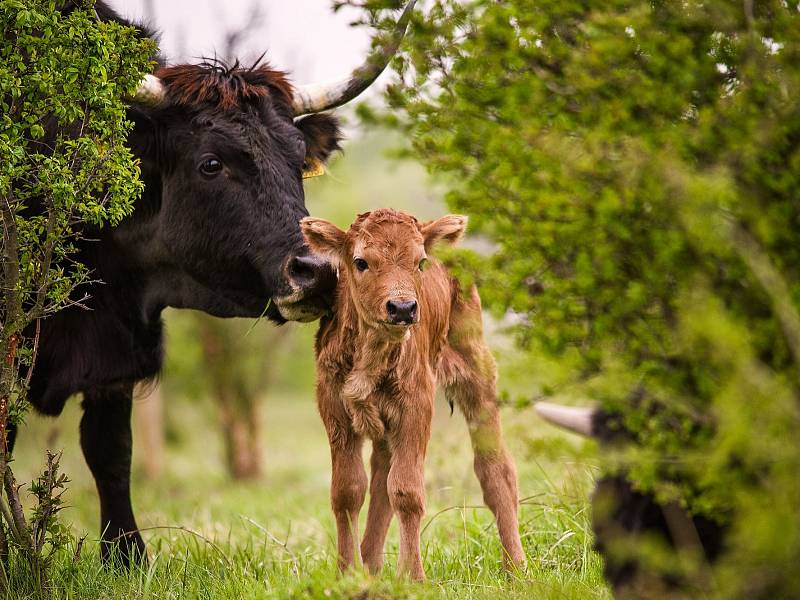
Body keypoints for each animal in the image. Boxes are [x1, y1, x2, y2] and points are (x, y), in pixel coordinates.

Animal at [7, 0, 418, 564]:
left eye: (297, 161)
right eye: (211, 163)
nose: (317, 272)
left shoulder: (116, 358)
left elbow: (111, 453)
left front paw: (127, 560)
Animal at [300, 209, 524, 580]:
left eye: (420, 262)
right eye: (360, 262)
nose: (403, 308)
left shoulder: (415, 407)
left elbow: (407, 491)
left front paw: (412, 577)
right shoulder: (335, 410)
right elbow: (348, 491)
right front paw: (348, 573)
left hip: (477, 374)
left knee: (496, 470)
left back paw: (515, 567)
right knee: (380, 478)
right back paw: (370, 564)